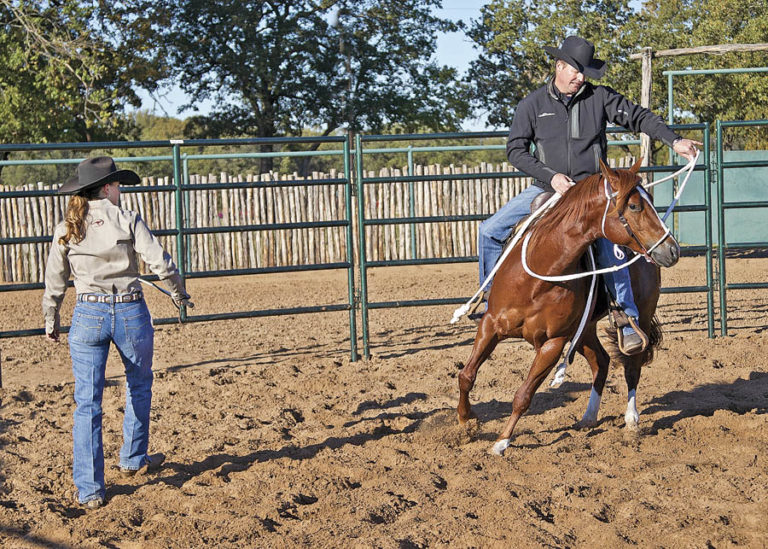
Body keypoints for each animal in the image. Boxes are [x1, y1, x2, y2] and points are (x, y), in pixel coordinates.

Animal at [456, 157, 680, 454]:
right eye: (634, 206)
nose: (673, 250)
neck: (540, 271)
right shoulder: (490, 325)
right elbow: (467, 375)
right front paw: (465, 422)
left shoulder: (553, 343)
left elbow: (523, 395)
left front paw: (501, 442)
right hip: (584, 329)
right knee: (602, 361)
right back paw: (588, 417)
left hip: (640, 315)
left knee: (632, 365)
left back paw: (631, 421)